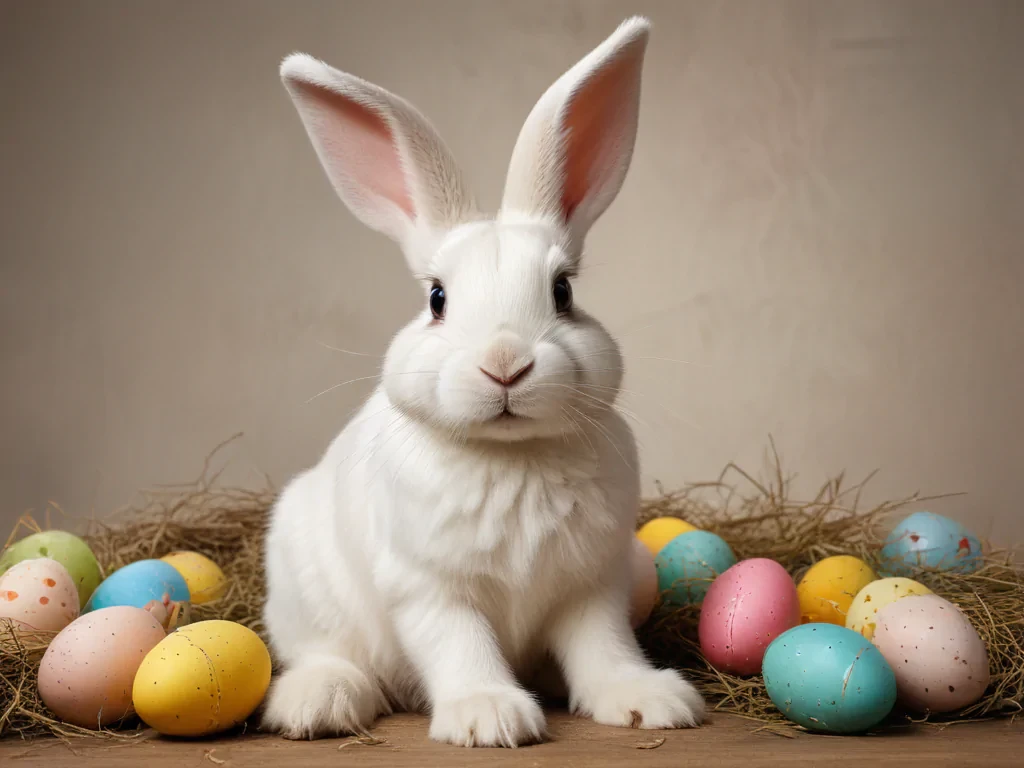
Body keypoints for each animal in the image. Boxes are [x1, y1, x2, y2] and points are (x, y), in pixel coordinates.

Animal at [262, 16, 705, 747]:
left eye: (563, 292)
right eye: (437, 298)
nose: (505, 363)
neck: (511, 457)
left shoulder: (592, 585)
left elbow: (603, 647)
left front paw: (650, 700)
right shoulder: (429, 589)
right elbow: (460, 646)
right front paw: (489, 717)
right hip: (307, 589)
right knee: (325, 654)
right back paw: (317, 704)